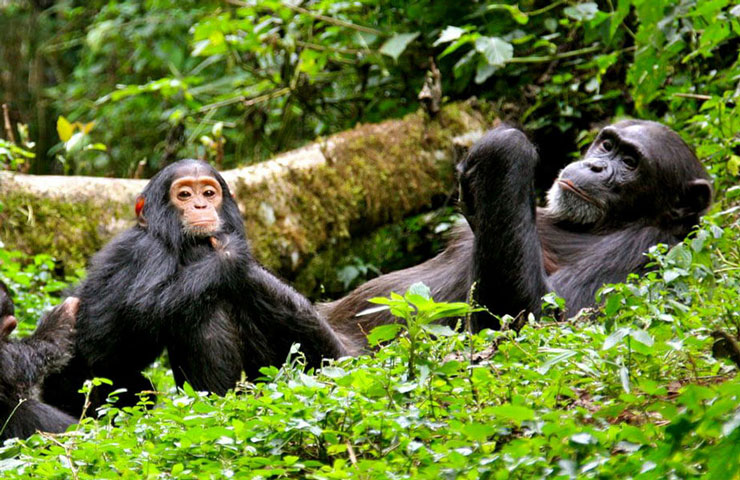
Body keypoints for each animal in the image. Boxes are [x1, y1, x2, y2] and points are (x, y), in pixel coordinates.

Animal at [44, 159, 350, 414]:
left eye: (208, 193)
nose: (201, 206)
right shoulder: (151, 251)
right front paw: (228, 254)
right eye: (184, 195)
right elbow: (147, 304)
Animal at [322, 120, 712, 344]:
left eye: (630, 163)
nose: (596, 166)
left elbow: (538, 317)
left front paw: (506, 147)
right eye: (608, 145)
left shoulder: (645, 251)